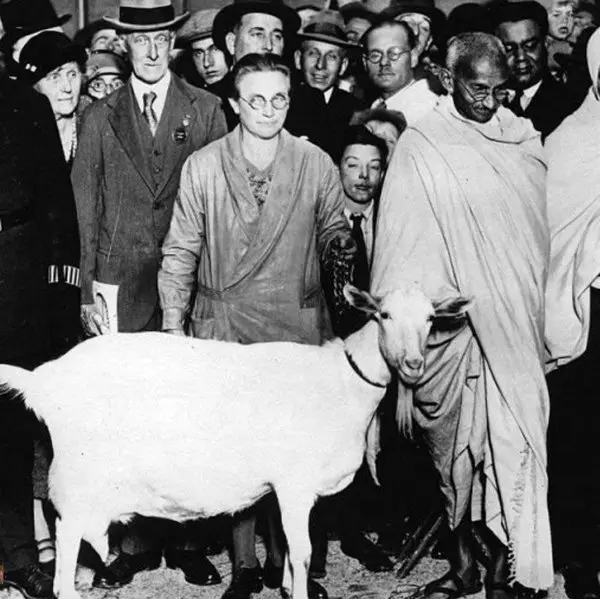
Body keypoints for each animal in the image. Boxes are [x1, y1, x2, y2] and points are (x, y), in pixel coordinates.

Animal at [0, 284, 470, 599]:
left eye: (430, 319)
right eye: (384, 315)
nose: (413, 364)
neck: (342, 381)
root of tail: (45, 379)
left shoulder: (283, 489)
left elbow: (287, 548)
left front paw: (286, 586)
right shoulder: (295, 484)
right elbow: (302, 550)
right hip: (81, 476)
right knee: (65, 535)